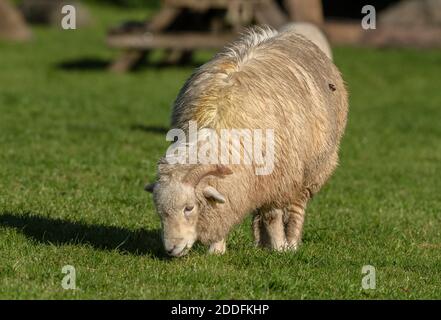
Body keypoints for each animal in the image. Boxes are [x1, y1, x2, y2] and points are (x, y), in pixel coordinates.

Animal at [146, 26, 348, 258]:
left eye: (189, 208)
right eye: (160, 212)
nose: (171, 249)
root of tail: (283, 33)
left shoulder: (277, 178)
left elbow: (272, 216)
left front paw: (279, 248)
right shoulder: (242, 184)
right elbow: (227, 212)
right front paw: (217, 250)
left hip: (312, 170)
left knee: (297, 207)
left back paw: (291, 243)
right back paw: (260, 244)